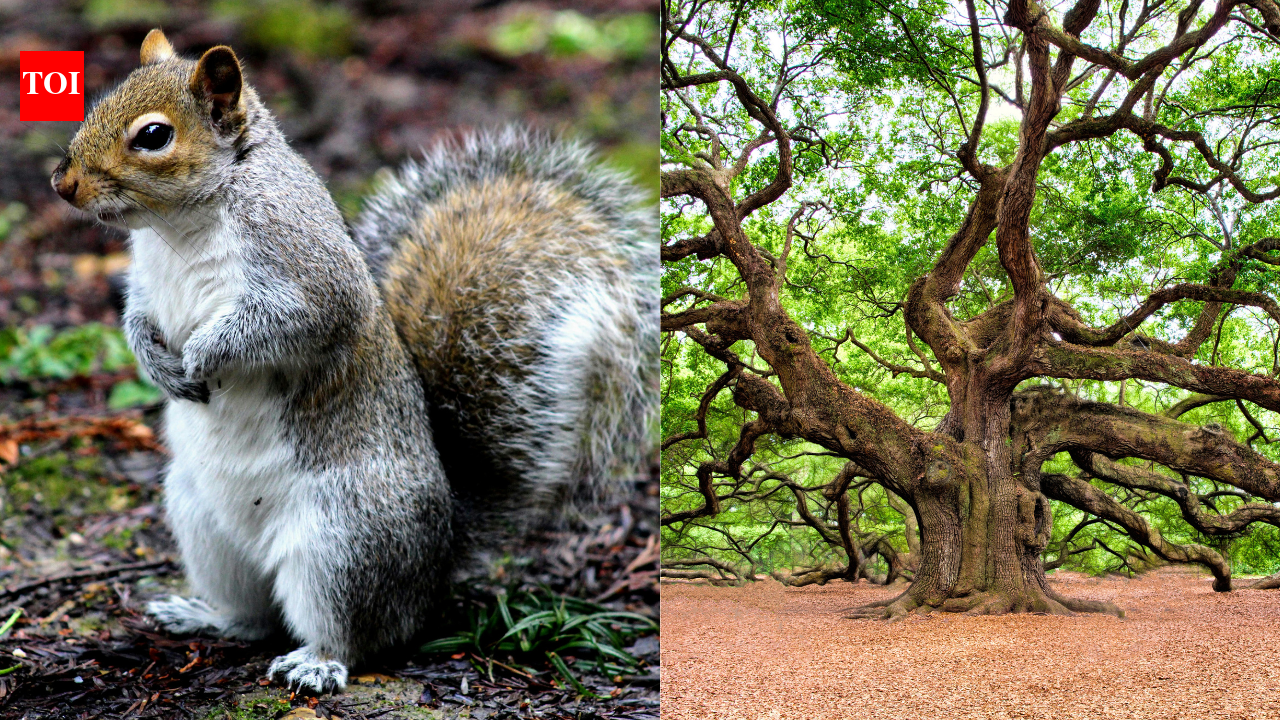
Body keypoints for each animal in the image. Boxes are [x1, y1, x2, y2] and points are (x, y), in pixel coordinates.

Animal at [50, 29, 657, 694]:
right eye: (96, 104)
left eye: (154, 136)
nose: (63, 184)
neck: (179, 224)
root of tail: (437, 559)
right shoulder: (145, 280)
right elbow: (136, 317)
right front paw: (158, 364)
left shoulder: (306, 270)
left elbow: (285, 322)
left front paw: (204, 354)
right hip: (201, 522)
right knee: (255, 614)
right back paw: (203, 614)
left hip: (343, 541)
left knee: (358, 634)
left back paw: (317, 662)